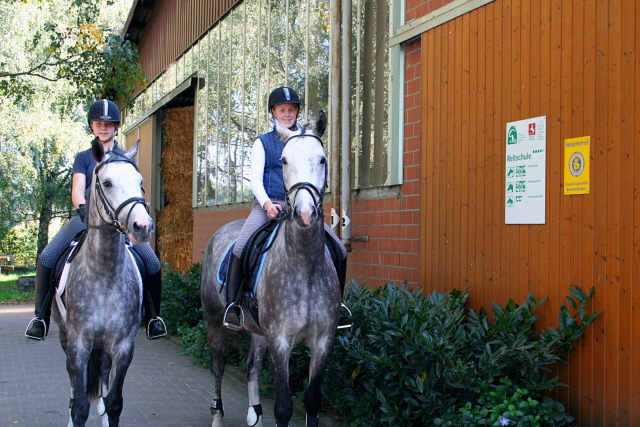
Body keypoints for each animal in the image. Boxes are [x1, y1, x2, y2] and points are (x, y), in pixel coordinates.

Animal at [51, 139, 154, 426]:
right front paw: (75, 413)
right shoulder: (78, 344)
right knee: (72, 380)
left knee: (104, 374)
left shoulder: (123, 346)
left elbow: (115, 402)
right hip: (64, 336)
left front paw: (108, 412)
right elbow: (80, 406)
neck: (104, 275)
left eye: (140, 181)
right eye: (106, 183)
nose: (143, 226)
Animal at [201, 111, 342, 427]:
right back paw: (216, 415)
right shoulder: (280, 341)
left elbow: (312, 400)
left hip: (257, 330)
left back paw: (255, 415)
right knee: (217, 366)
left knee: (251, 367)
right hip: (215, 320)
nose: (305, 213)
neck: (304, 267)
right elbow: (283, 407)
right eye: (285, 160)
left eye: (322, 159)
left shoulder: (324, 342)